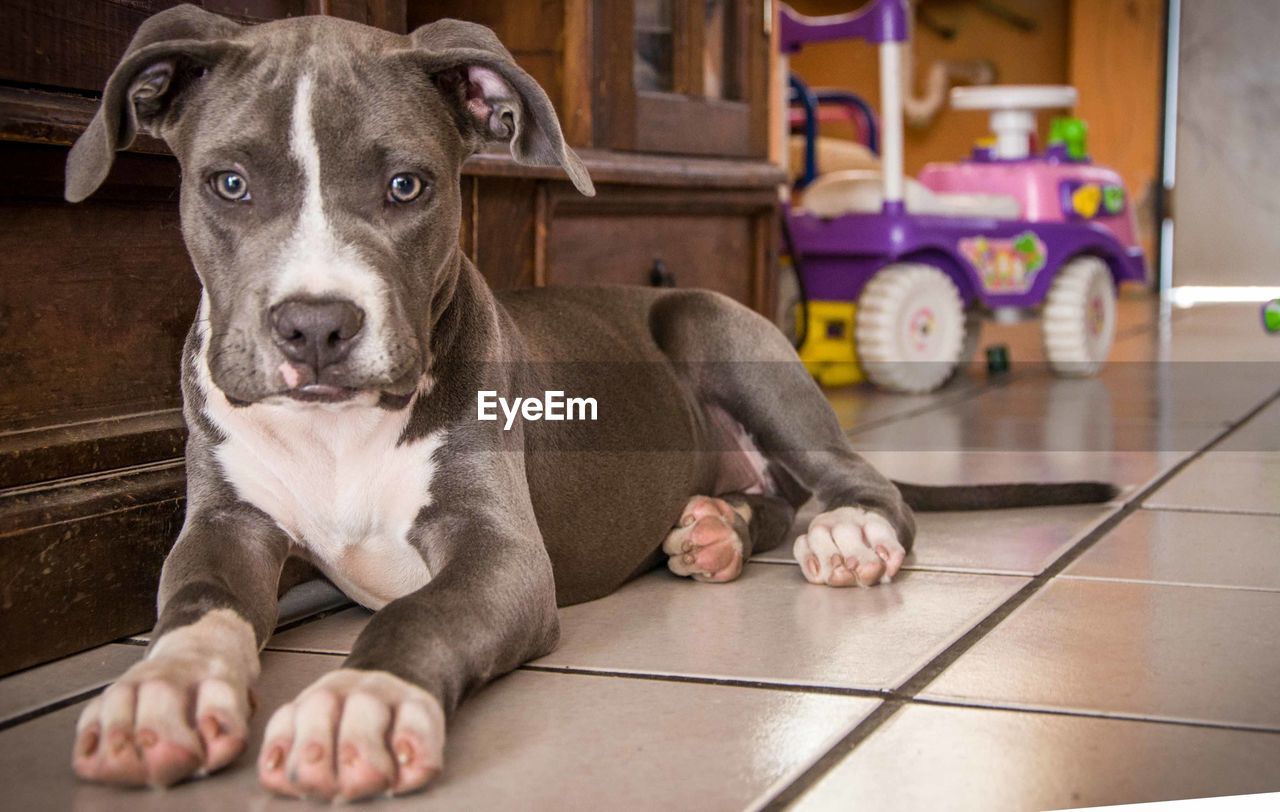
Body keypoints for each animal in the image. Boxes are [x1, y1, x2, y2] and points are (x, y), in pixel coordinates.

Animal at [64, 4, 1116, 799]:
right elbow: (196, 600)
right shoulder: (226, 524)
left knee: (856, 479)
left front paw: (355, 703)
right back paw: (716, 528)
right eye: (227, 183)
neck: (338, 433)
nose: (315, 327)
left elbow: (415, 616)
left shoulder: (500, 555)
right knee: (772, 494)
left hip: (717, 327)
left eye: (408, 185)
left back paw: (846, 534)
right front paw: (162, 688)